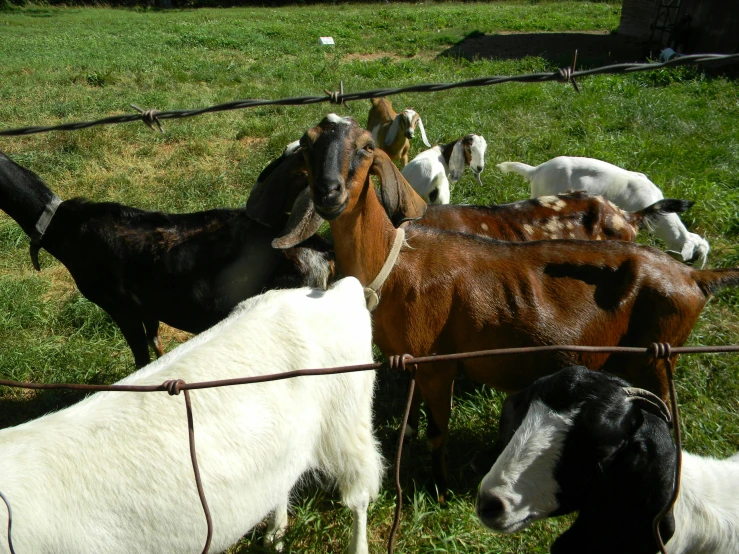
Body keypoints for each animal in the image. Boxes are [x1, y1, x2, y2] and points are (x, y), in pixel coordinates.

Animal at [0, 149, 330, 368]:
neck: (65, 227)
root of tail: (321, 254)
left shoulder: (120, 307)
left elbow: (141, 357)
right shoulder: (147, 305)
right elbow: (156, 343)